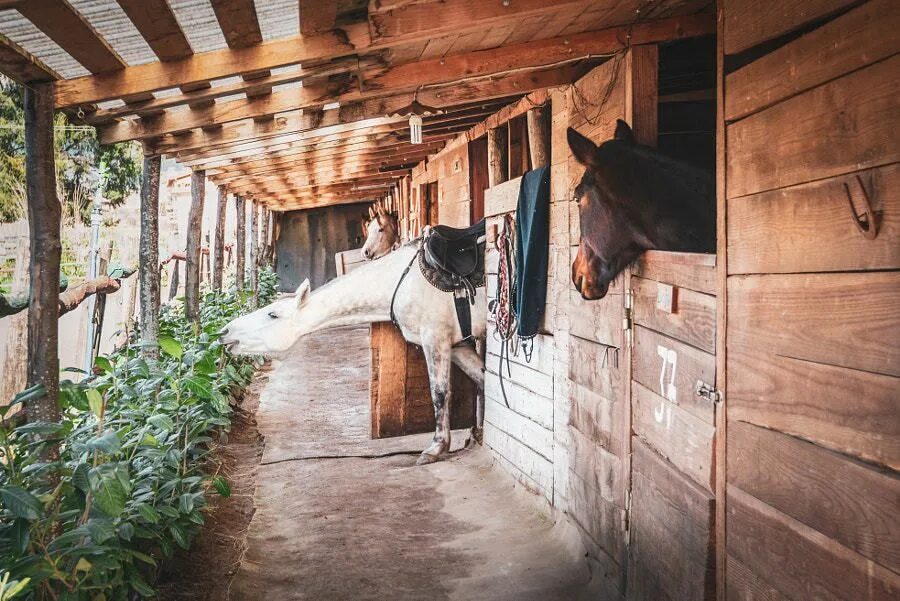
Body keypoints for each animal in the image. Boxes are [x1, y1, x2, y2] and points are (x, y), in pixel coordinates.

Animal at [221, 243, 486, 464]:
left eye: (273, 315)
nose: (224, 331)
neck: (401, 281)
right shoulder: (458, 346)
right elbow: (483, 379)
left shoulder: (435, 339)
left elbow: (439, 394)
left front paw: (436, 448)